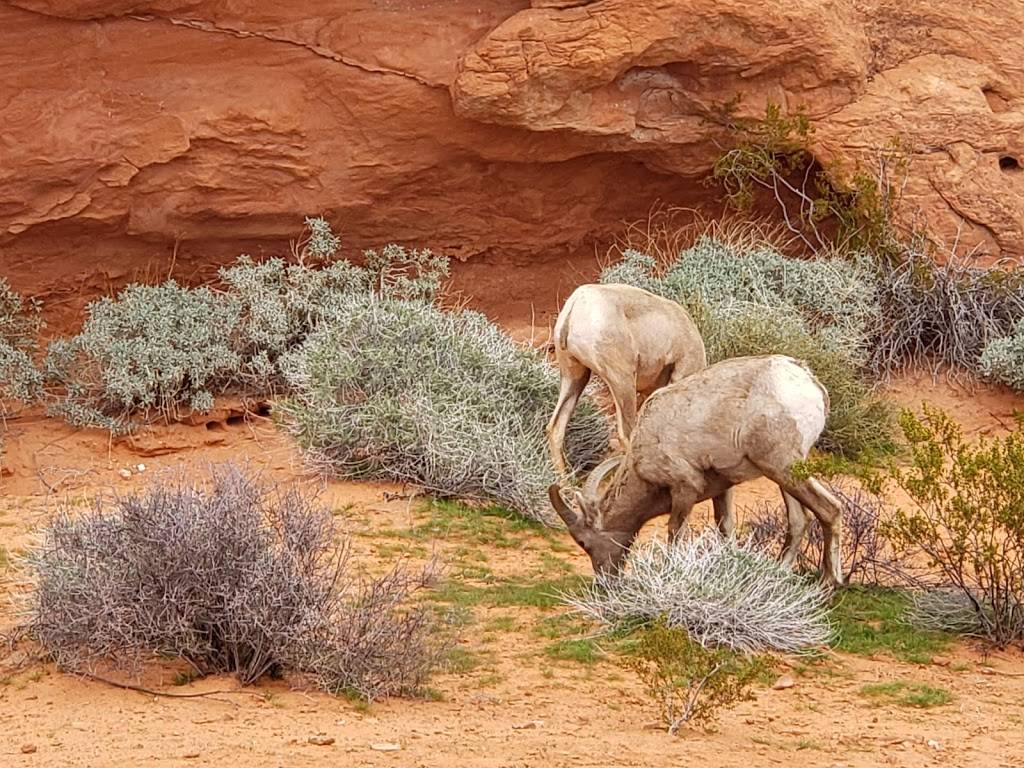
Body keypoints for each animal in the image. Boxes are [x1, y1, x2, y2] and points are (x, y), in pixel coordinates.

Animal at [548, 358, 843, 585]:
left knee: (830, 509)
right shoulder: (723, 488)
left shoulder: (684, 487)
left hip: (783, 467)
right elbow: (725, 528)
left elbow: (675, 533)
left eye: (583, 542)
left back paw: (828, 583)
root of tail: (809, 383)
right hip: (784, 473)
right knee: (799, 520)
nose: (605, 582)